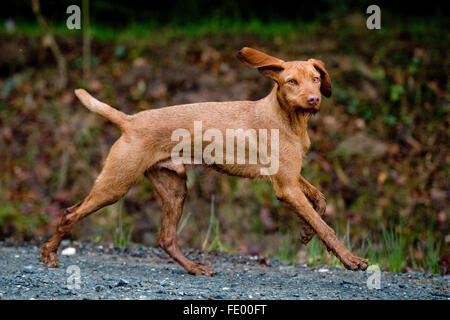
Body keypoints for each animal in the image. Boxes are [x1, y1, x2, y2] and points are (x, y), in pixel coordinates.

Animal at [40, 47, 368, 276]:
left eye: (316, 79)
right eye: (291, 81)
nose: (314, 99)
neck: (289, 119)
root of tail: (130, 120)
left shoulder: (291, 176)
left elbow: (319, 202)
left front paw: (306, 232)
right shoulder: (285, 186)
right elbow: (326, 226)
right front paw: (350, 260)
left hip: (174, 188)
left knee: (166, 239)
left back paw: (194, 268)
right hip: (115, 184)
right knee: (70, 213)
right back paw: (49, 254)